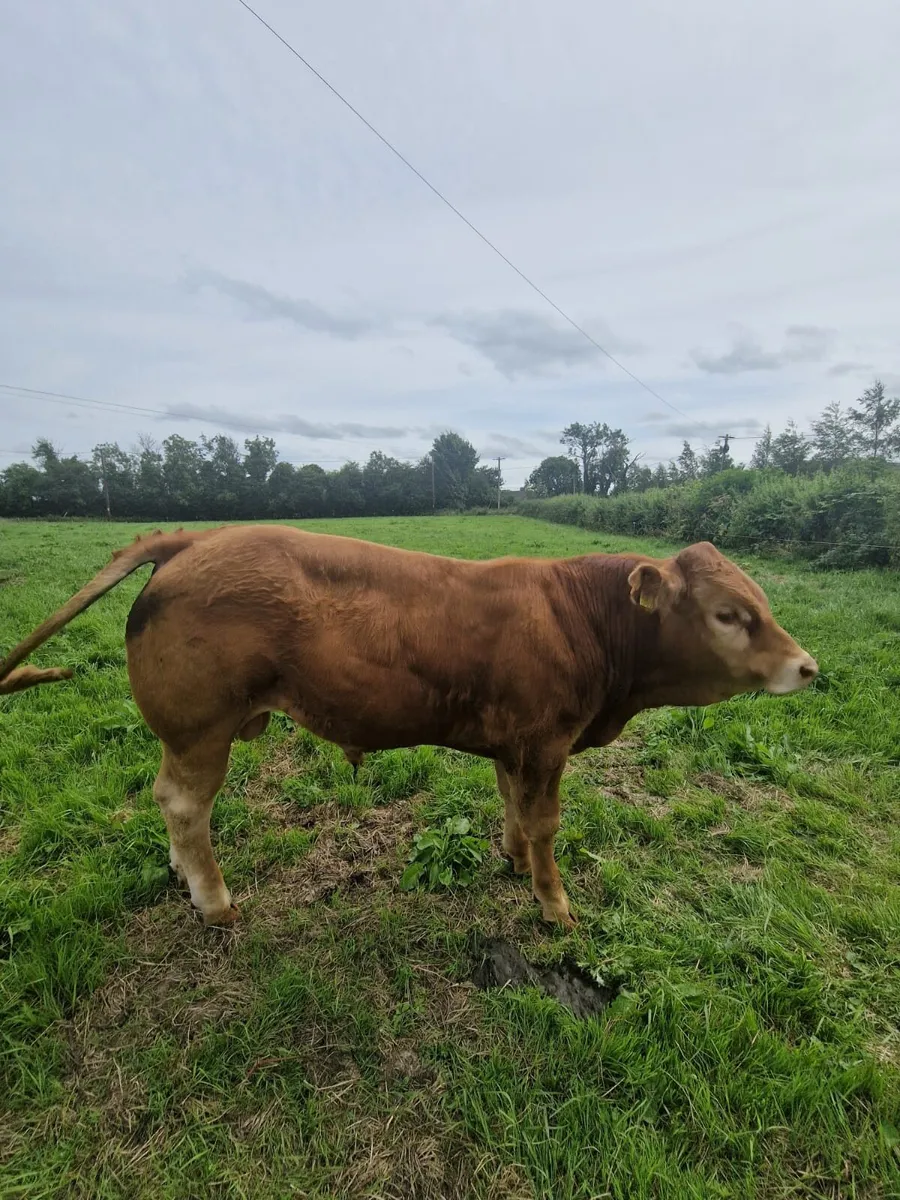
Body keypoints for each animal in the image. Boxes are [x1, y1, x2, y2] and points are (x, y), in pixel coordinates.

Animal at [0, 524, 818, 930]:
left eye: (762, 601)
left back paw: (180, 874)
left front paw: (512, 859)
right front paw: (554, 905)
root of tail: (196, 540)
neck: (581, 617)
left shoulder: (513, 744)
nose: (807, 666)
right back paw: (214, 900)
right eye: (728, 614)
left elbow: (513, 808)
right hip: (201, 729)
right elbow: (547, 824)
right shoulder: (547, 743)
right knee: (183, 804)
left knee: (171, 804)